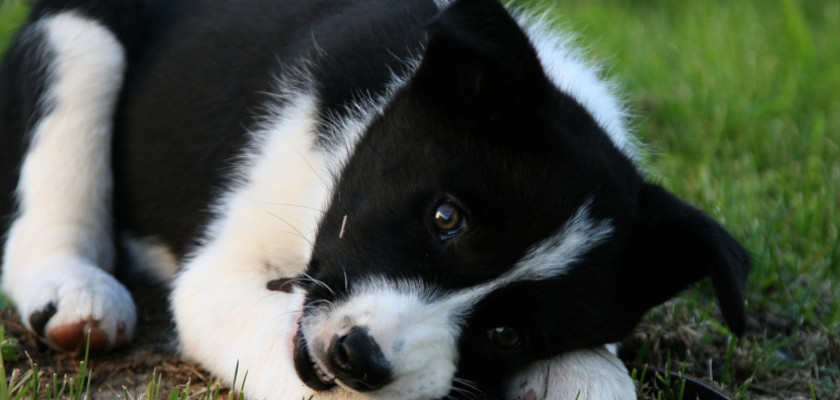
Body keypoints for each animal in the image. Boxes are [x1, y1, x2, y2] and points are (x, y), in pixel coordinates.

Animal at [0, 0, 748, 398]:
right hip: (80, 42)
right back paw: (74, 294)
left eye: (508, 335)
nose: (356, 357)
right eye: (445, 218)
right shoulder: (219, 275)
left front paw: (585, 372)